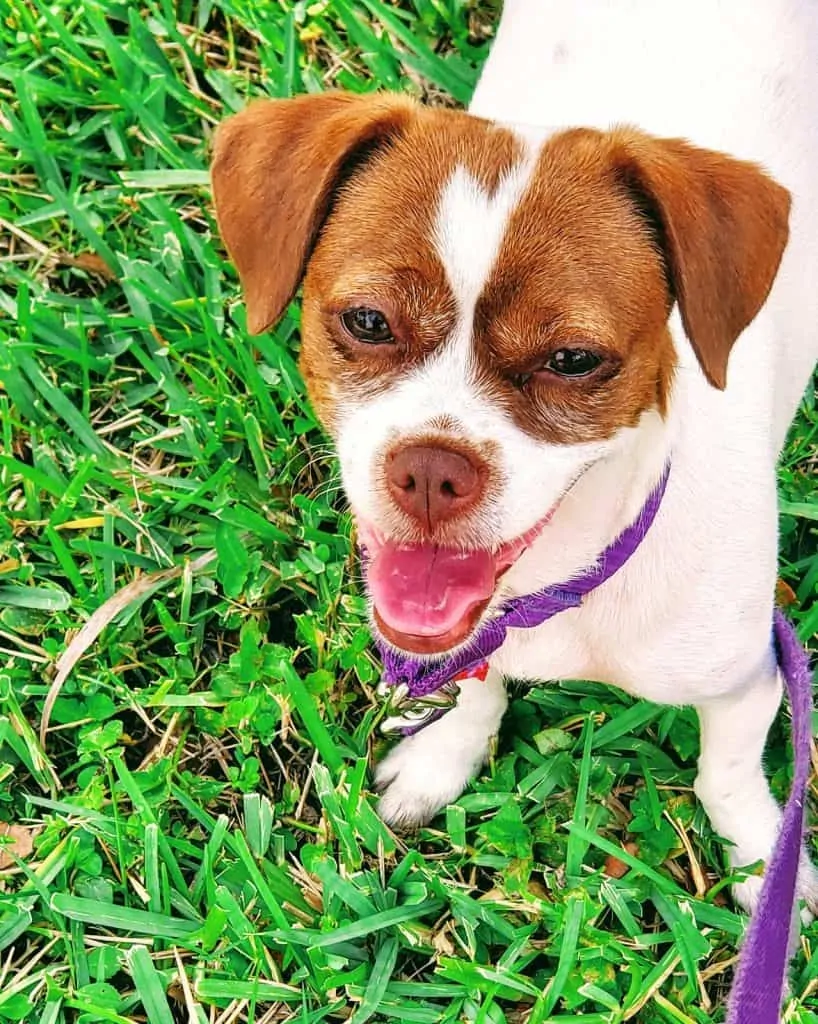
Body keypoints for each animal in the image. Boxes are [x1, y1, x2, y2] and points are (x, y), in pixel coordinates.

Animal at [210, 0, 818, 913]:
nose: (431, 470)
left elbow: (728, 778)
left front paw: (761, 867)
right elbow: (472, 697)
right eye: (368, 321)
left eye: (571, 359)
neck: (559, 588)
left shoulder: (747, 684)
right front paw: (441, 760)